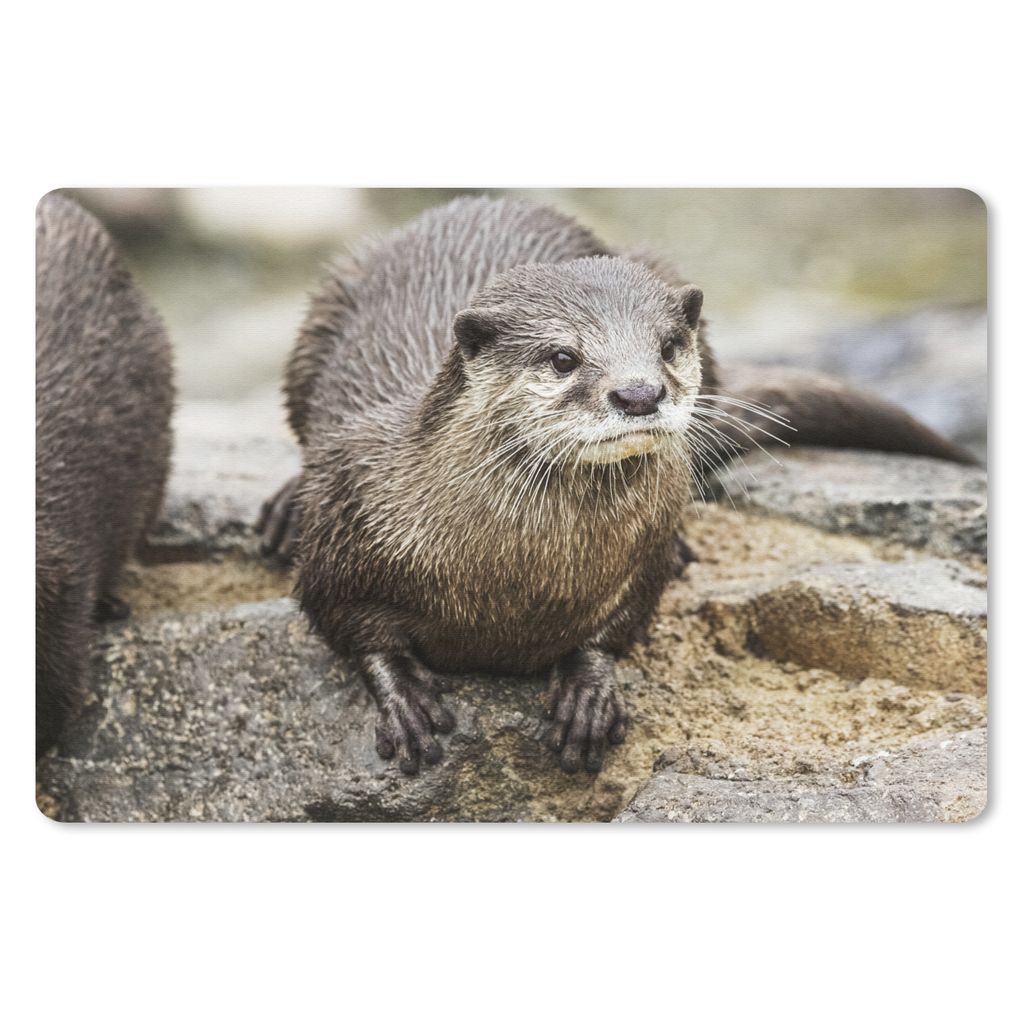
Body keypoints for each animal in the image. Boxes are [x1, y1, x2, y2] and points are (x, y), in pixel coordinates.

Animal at [260, 195, 975, 775]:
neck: (517, 580)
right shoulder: (348, 515)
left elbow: (623, 620)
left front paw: (588, 688)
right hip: (322, 311)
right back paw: (284, 507)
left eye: (667, 345)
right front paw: (404, 695)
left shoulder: (644, 550)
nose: (639, 393)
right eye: (563, 357)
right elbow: (342, 619)